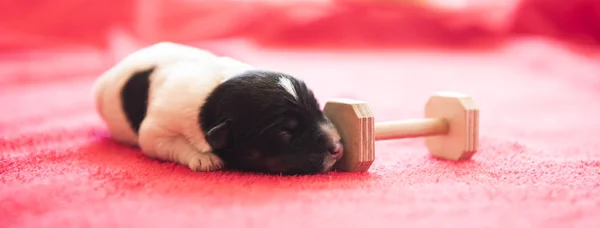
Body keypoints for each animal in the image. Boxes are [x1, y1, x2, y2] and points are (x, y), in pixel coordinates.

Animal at [94, 41, 346, 175]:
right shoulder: (155, 130)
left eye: (318, 109)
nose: (337, 147)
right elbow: (169, 142)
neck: (214, 96)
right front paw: (202, 157)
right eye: (285, 132)